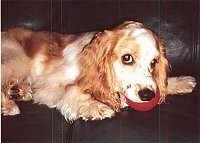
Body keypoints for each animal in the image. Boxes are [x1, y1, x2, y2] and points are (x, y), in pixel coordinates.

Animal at [0, 21, 196, 121]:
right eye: (127, 58)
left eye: (154, 62)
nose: (148, 96)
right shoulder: (48, 86)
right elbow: (73, 90)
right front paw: (94, 107)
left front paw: (182, 82)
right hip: (16, 58)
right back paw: (8, 105)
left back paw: (18, 91)